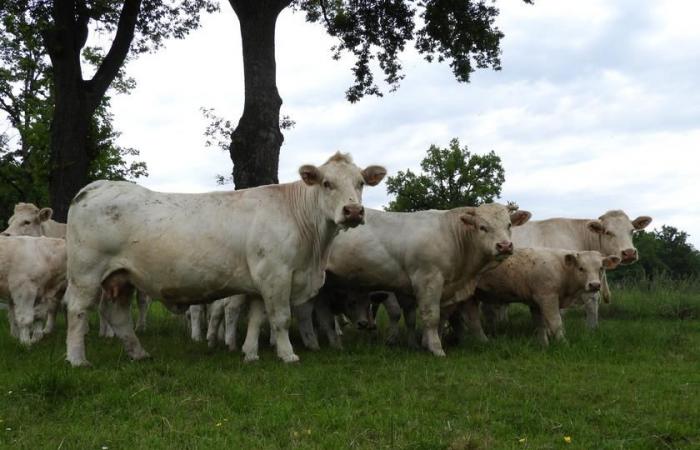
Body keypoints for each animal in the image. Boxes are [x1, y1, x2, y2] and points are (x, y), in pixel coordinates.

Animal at [63, 151, 386, 366]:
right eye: (327, 183)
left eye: (360, 183)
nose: (353, 211)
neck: (314, 254)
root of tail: (98, 185)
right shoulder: (277, 274)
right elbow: (280, 319)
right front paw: (288, 354)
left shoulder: (260, 282)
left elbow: (257, 318)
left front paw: (250, 353)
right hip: (86, 273)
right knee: (78, 311)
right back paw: (78, 359)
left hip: (122, 277)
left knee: (116, 314)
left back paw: (138, 353)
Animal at [318, 203, 532, 356]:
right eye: (482, 227)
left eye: (509, 225)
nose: (505, 246)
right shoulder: (428, 279)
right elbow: (431, 316)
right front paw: (436, 348)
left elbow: (433, 317)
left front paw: (423, 343)